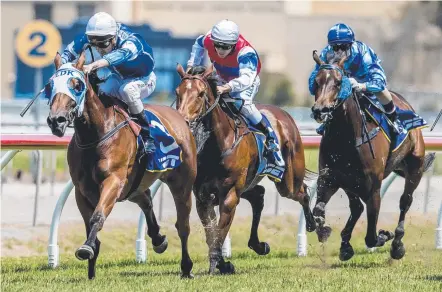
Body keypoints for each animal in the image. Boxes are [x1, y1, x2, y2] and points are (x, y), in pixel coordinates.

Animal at [45, 52, 196, 278]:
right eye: (50, 85)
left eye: (77, 85)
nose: (57, 120)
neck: (95, 134)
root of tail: (180, 118)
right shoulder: (82, 190)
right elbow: (89, 225)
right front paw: (91, 271)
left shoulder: (113, 181)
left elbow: (97, 217)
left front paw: (86, 248)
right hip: (132, 187)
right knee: (146, 199)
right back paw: (158, 239)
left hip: (182, 183)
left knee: (183, 225)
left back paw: (186, 267)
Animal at [174, 63, 316, 274]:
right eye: (178, 93)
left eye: (200, 94)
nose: (183, 121)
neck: (218, 144)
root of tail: (285, 115)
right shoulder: (203, 196)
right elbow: (211, 234)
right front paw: (220, 263)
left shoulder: (230, 193)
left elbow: (220, 232)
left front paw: (220, 264)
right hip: (250, 182)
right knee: (259, 195)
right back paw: (259, 245)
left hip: (288, 181)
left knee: (302, 192)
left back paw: (315, 224)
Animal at [310, 50, 436, 260]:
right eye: (316, 82)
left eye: (338, 82)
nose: (321, 110)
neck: (346, 138)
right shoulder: (330, 179)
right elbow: (318, 211)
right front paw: (327, 232)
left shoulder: (373, 189)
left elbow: (371, 236)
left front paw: (385, 235)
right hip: (351, 183)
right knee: (357, 208)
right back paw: (345, 244)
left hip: (415, 168)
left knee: (405, 202)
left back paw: (397, 244)